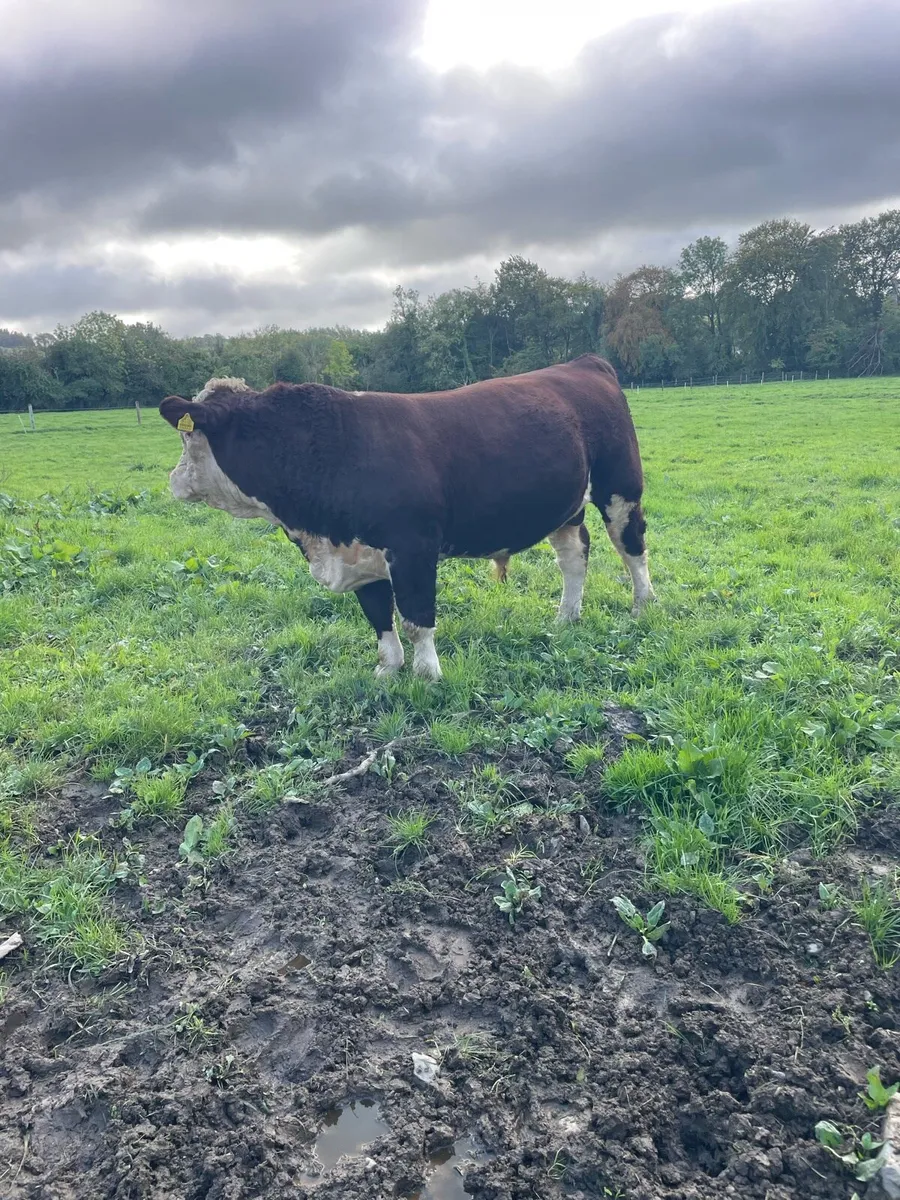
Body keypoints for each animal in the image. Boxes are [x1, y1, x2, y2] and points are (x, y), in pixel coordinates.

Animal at [159, 355, 654, 680]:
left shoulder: (414, 548)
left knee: (631, 545)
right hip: (565, 505)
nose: (174, 479)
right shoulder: (359, 553)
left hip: (620, 486)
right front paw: (388, 670)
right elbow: (379, 616)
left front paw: (427, 674)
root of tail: (584, 363)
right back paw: (566, 617)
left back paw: (642, 606)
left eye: (189, 438)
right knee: (574, 554)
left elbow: (416, 618)